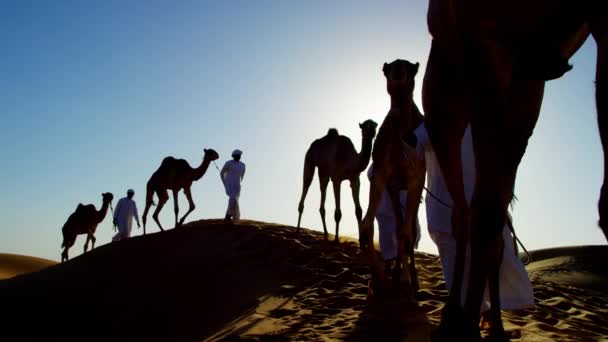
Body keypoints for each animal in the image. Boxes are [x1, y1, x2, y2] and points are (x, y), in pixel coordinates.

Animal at [358, 58, 426, 300]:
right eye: (387, 69)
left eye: (410, 67)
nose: (398, 69)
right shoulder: (383, 176)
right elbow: (367, 223)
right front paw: (377, 280)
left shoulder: (416, 178)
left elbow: (407, 232)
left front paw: (406, 282)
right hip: (395, 189)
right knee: (398, 226)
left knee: (409, 230)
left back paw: (412, 280)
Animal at [422, 1, 608, 340]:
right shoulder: (485, 45)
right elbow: (483, 214)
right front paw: (465, 327)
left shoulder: (532, 79)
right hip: (447, 83)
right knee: (464, 213)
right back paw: (452, 317)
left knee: (491, 220)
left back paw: (492, 323)